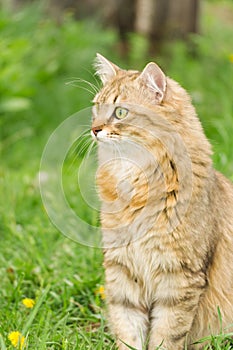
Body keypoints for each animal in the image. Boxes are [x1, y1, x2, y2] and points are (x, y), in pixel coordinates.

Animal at [90, 53, 233, 348]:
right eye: (96, 108)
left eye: (120, 112)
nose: (94, 129)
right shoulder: (122, 272)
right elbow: (128, 331)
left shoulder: (179, 277)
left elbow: (166, 334)